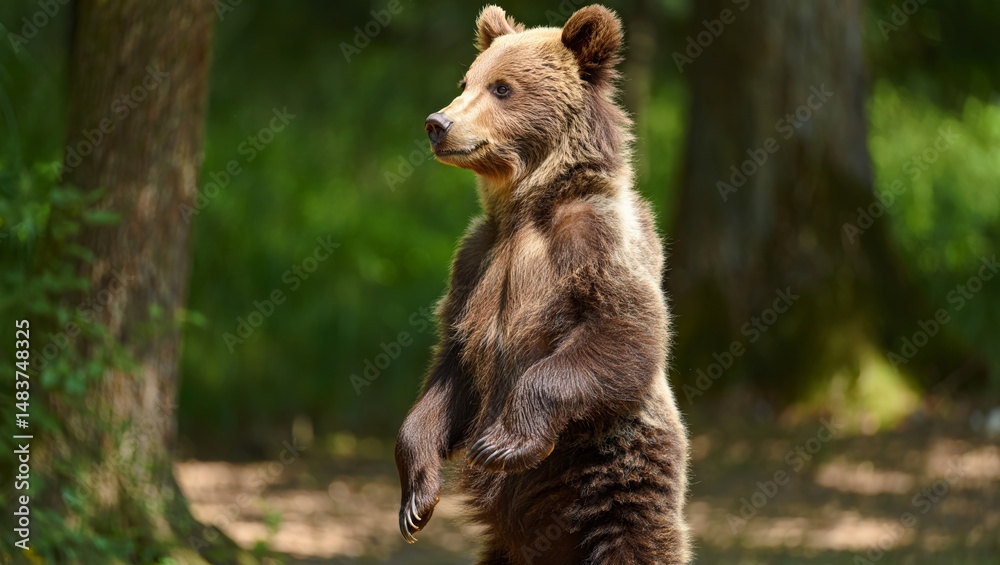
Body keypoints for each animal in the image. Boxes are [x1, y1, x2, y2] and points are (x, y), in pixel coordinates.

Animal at [395, 5, 691, 564]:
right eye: (465, 81)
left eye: (502, 88)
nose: (437, 124)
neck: (530, 205)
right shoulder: (474, 264)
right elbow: (451, 365)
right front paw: (417, 496)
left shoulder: (595, 243)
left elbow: (626, 333)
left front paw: (501, 442)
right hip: (507, 545)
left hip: (614, 477)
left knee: (636, 538)